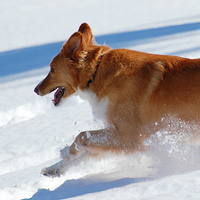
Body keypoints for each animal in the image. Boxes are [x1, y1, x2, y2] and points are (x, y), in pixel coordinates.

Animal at [34, 22, 200, 177]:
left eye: (52, 69)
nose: (35, 90)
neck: (96, 73)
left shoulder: (128, 136)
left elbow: (82, 136)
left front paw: (67, 152)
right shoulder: (114, 134)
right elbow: (86, 150)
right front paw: (54, 168)